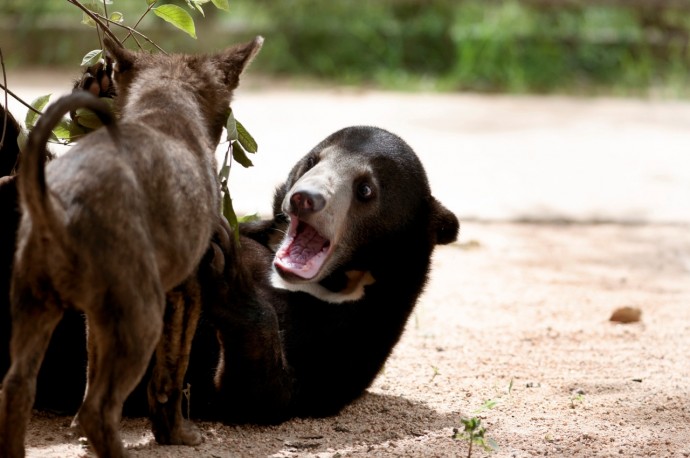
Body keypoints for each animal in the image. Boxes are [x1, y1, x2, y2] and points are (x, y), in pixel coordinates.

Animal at [0, 36, 260, 458]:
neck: (164, 106)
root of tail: (57, 205)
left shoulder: (99, 317)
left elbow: (92, 367)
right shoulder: (188, 288)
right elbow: (171, 374)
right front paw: (176, 435)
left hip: (35, 305)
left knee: (16, 389)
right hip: (141, 316)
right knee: (100, 409)